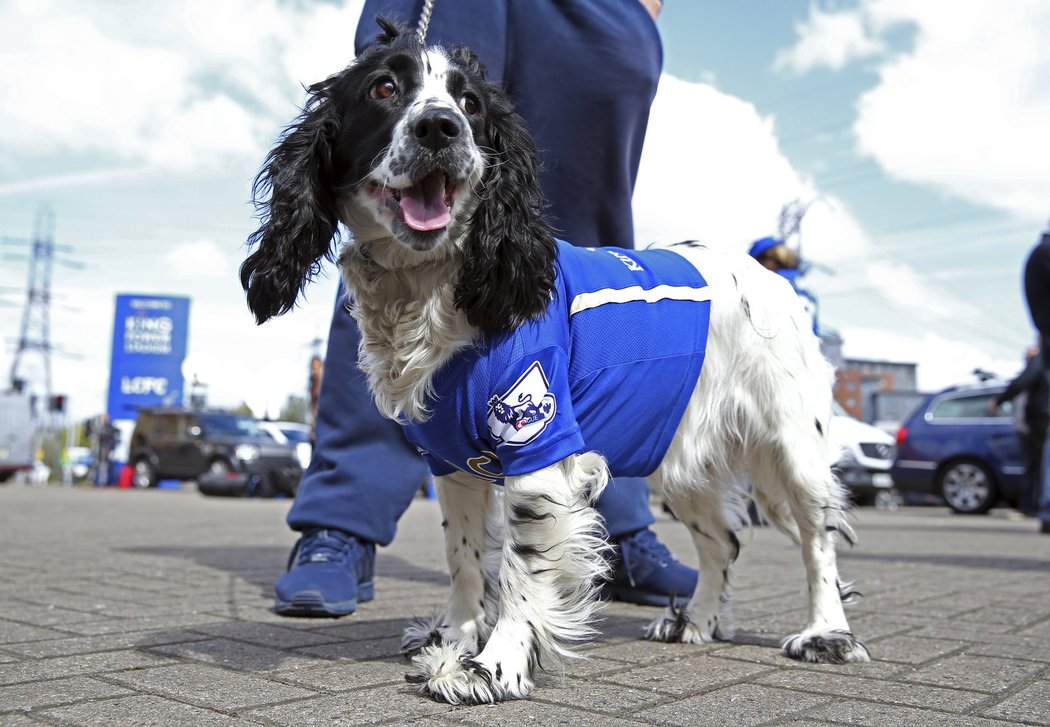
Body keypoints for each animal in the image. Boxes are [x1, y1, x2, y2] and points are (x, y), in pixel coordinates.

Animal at [240, 21, 869, 705]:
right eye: (383, 88)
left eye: (470, 103)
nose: (440, 127)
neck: (431, 286)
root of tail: (772, 275)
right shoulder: (451, 464)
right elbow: (464, 557)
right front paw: (454, 640)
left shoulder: (536, 443)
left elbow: (523, 566)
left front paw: (493, 667)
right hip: (679, 458)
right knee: (722, 543)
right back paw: (696, 622)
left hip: (790, 447)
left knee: (816, 542)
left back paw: (825, 634)